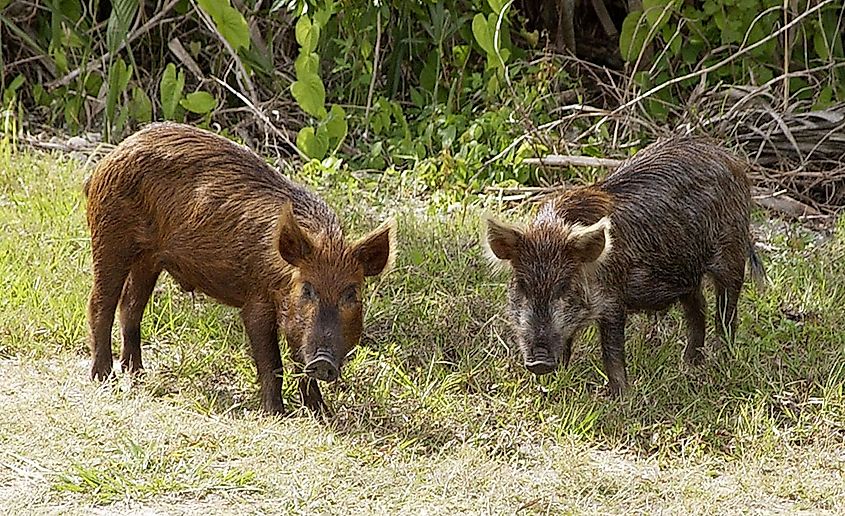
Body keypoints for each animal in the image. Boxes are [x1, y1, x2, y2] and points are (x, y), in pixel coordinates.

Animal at [84, 120, 398, 412]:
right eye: (307, 289)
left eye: (351, 293)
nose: (324, 362)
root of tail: (110, 156)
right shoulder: (256, 301)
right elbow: (272, 362)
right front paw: (275, 413)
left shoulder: (294, 321)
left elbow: (299, 361)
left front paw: (322, 413)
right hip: (109, 236)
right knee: (101, 303)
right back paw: (103, 377)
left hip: (149, 259)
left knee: (130, 306)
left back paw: (137, 373)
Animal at [482, 137, 764, 396]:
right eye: (522, 285)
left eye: (563, 287)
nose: (539, 361)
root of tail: (732, 161)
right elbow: (567, 344)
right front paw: (552, 386)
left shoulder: (612, 301)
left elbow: (612, 351)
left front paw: (620, 398)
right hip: (686, 274)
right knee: (698, 308)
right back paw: (690, 365)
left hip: (731, 255)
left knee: (726, 313)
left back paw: (721, 362)